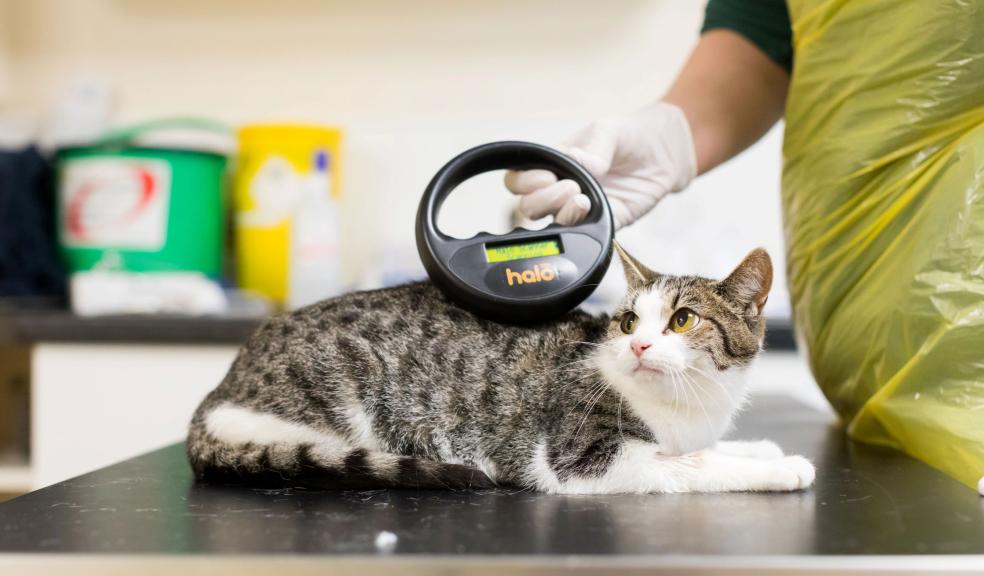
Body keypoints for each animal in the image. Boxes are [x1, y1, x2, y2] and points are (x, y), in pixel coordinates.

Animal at [186, 245, 816, 492]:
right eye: (630, 321)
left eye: (683, 320)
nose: (637, 347)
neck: (689, 405)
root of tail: (218, 392)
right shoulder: (585, 459)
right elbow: (689, 465)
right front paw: (779, 468)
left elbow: (704, 448)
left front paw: (760, 448)